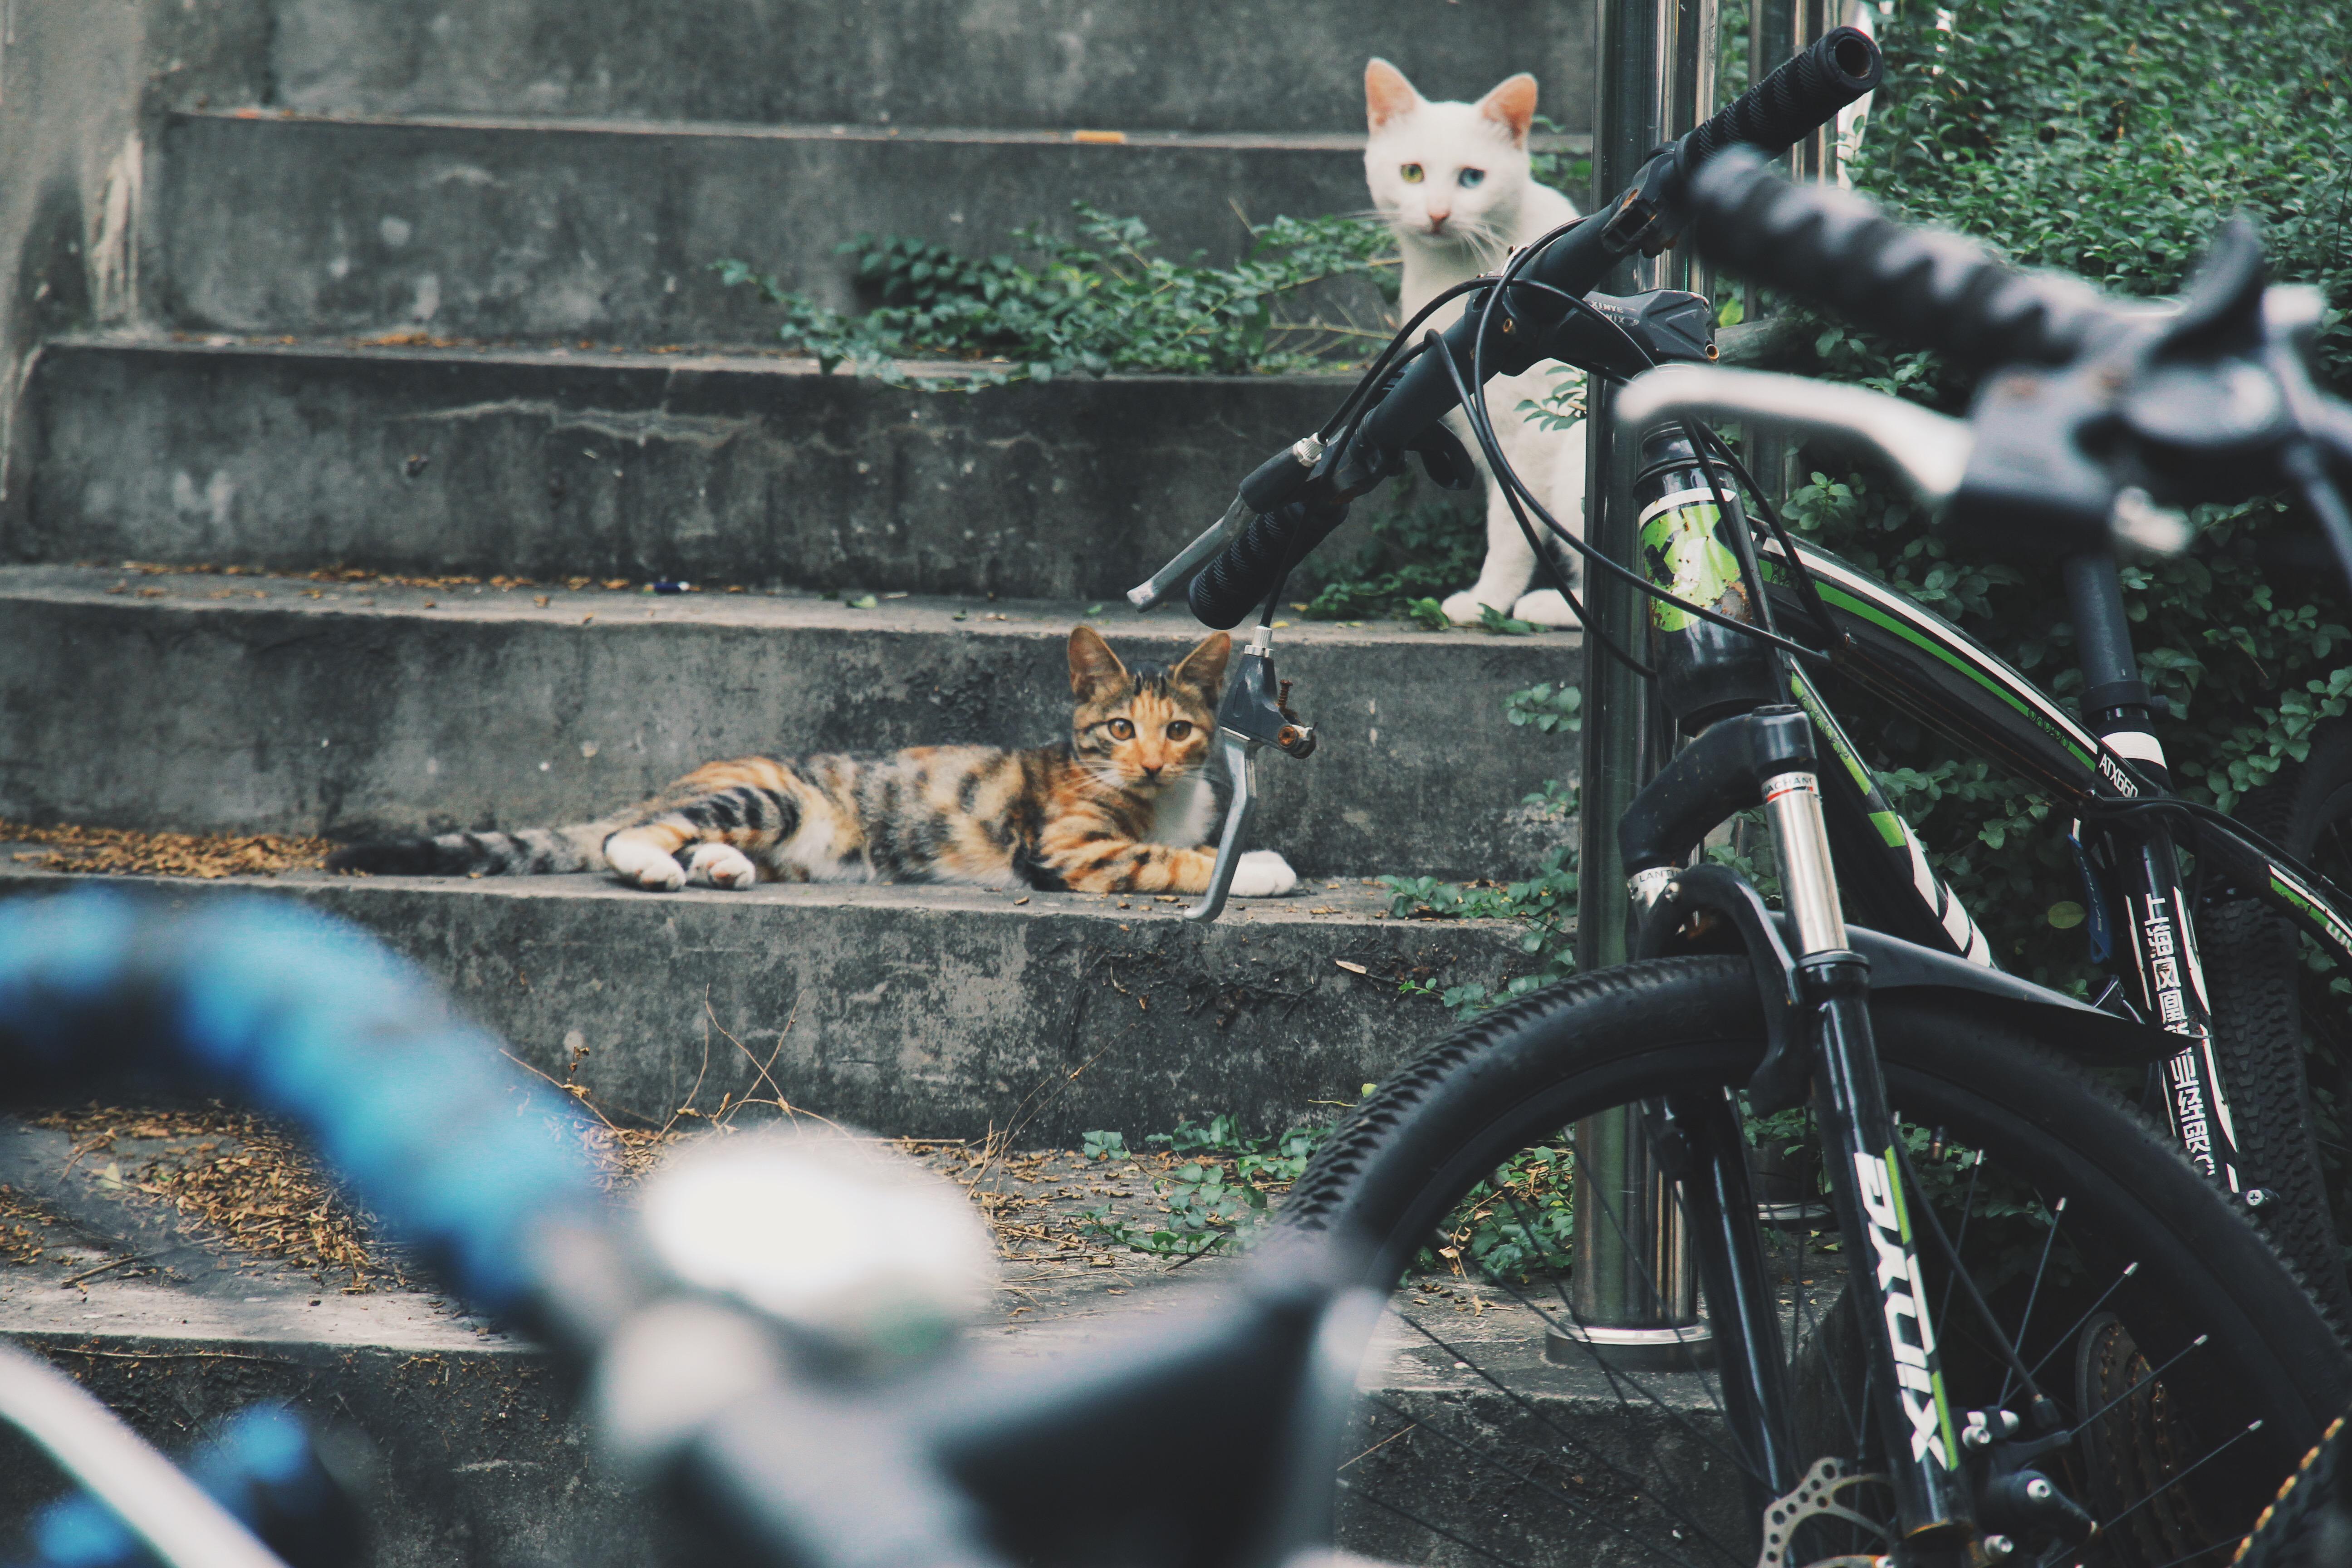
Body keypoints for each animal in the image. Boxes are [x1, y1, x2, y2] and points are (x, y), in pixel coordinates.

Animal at [322, 625, 1298, 893]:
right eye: (1118, 730)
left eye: (1179, 731)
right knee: (630, 835)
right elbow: (1159, 857)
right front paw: (1257, 867)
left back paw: (719, 868)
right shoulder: (1064, 847)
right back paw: (659, 864)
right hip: (768, 797)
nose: (1151, 766)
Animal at [1373, 55, 1590, 630]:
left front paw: (1488, 601)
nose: (1438, 214)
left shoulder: (1531, 434)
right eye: (1412, 172)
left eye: (1473, 178)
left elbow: (1512, 529)